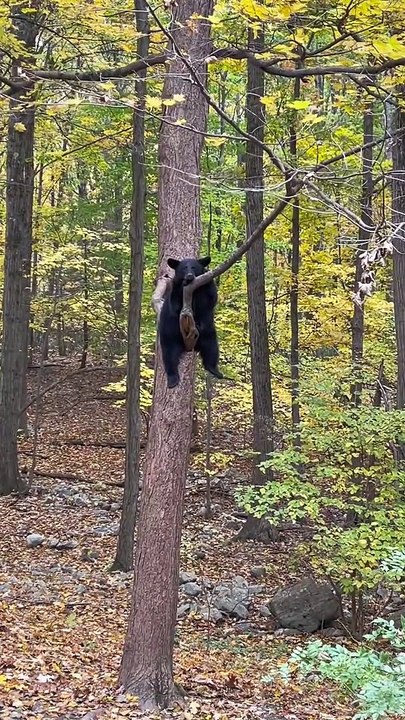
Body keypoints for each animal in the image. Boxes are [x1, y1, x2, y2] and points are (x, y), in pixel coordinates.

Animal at [158, 256, 223, 388]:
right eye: (184, 268)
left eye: (193, 267)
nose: (189, 276)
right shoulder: (175, 290)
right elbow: (175, 305)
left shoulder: (206, 288)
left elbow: (210, 299)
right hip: (169, 334)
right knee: (169, 355)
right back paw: (172, 380)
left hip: (208, 333)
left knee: (211, 347)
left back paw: (214, 370)